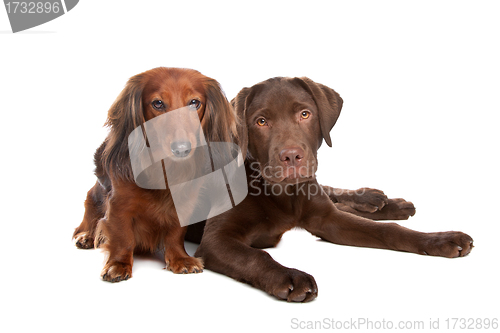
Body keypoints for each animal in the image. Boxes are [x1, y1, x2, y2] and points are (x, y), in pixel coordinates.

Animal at [73, 67, 237, 280]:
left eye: (194, 102)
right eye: (157, 103)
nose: (182, 149)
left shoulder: (184, 204)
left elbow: (175, 234)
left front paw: (179, 258)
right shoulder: (118, 204)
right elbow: (122, 236)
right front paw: (118, 264)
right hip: (94, 196)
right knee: (90, 217)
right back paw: (86, 236)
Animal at [195, 76, 472, 302]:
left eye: (305, 114)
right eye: (261, 121)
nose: (291, 156)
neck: (284, 193)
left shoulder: (327, 218)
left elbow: (388, 231)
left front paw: (440, 239)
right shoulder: (215, 240)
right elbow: (255, 256)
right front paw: (289, 277)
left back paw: (383, 202)